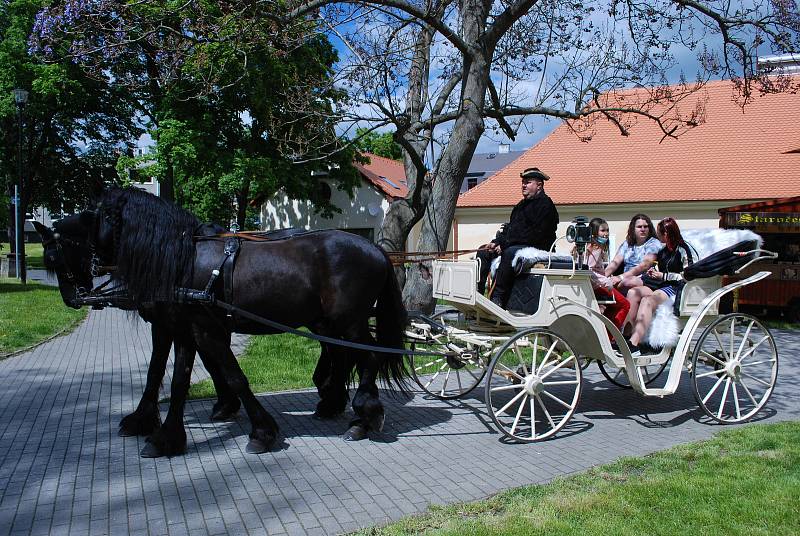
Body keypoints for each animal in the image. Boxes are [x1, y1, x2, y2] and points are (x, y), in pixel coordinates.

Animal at [79, 187, 410, 456]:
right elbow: (174, 378)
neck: (183, 261)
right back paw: (341, 407)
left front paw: (262, 432)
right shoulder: (184, 328)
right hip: (332, 323)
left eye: (97, 216)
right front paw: (165, 436)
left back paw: (364, 415)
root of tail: (375, 248)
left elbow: (234, 376)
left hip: (349, 322)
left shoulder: (204, 329)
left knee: (369, 355)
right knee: (348, 355)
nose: (86, 274)